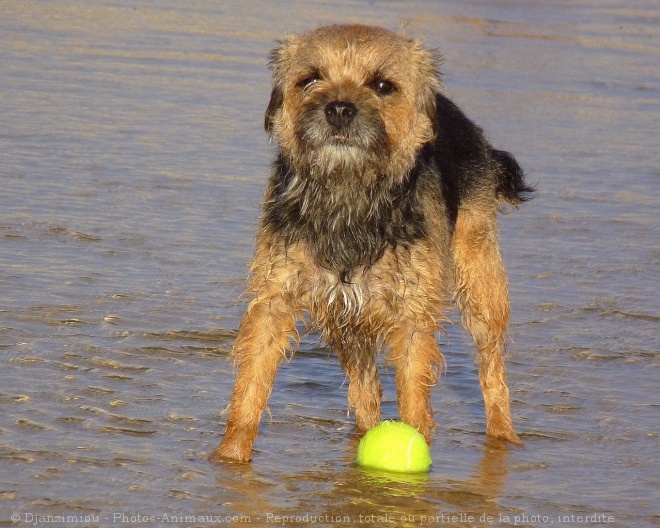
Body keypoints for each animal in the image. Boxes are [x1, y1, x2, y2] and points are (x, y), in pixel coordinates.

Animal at [209, 24, 532, 462]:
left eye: (382, 85)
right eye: (310, 79)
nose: (339, 109)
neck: (348, 194)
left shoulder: (413, 314)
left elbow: (414, 389)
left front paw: (415, 442)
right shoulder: (275, 300)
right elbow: (250, 384)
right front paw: (230, 457)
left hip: (481, 281)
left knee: (492, 365)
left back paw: (504, 433)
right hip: (345, 318)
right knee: (366, 389)